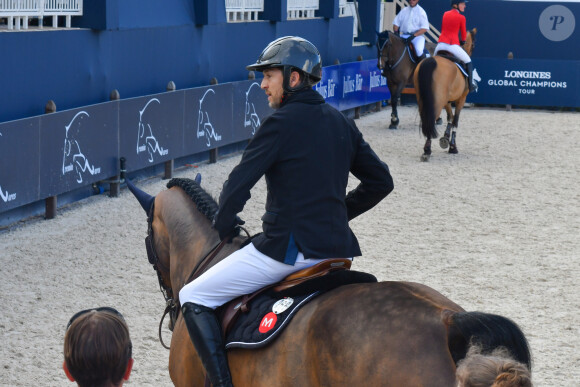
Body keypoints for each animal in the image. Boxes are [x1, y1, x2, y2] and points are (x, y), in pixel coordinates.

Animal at [414, 27, 478, 161]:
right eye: (473, 45)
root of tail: (431, 61)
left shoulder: (447, 101)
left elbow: (450, 117)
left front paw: (445, 138)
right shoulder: (461, 99)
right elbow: (455, 121)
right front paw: (453, 147)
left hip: (423, 100)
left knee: (426, 119)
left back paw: (426, 149)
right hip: (437, 102)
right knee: (431, 119)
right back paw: (427, 151)